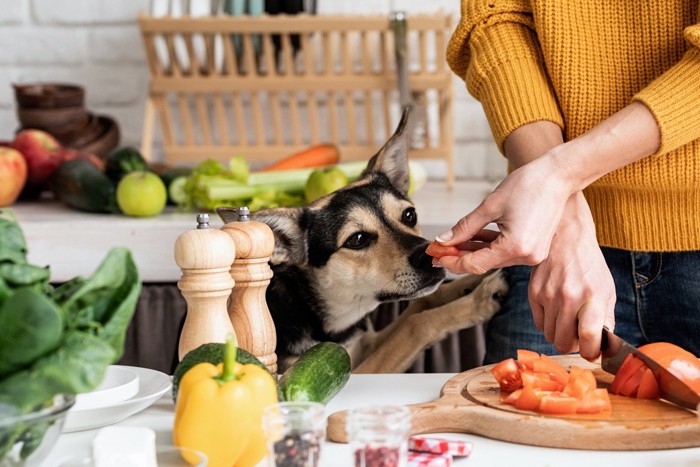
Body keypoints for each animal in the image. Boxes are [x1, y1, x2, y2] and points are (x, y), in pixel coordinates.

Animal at [216, 108, 506, 374]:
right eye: (357, 239)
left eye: (409, 215)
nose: (428, 255)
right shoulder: (351, 370)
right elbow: (415, 325)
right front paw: (479, 300)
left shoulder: (366, 342)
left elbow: (421, 304)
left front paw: (472, 281)